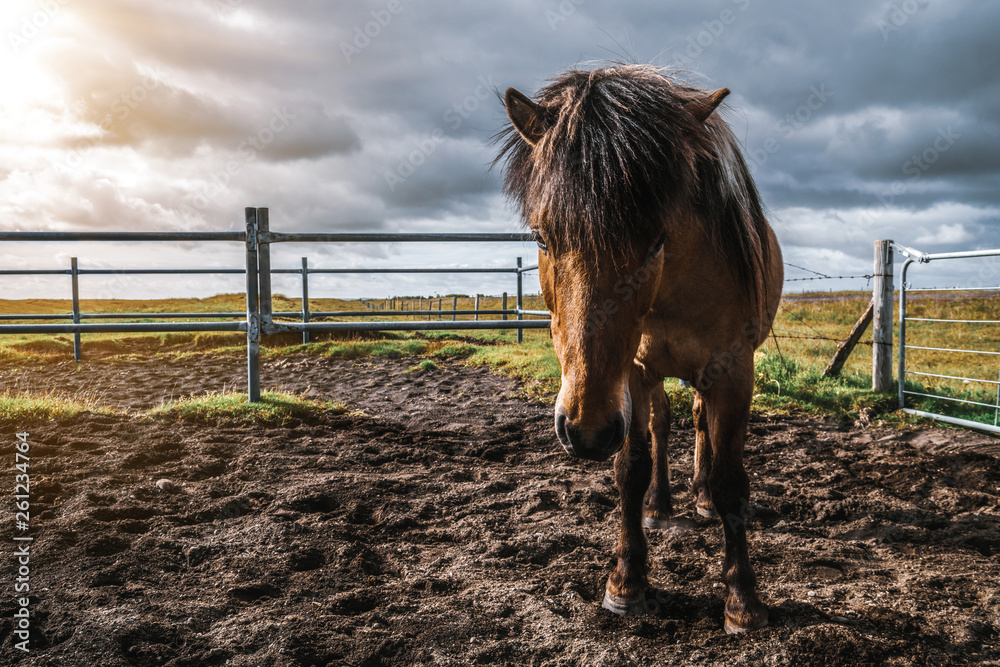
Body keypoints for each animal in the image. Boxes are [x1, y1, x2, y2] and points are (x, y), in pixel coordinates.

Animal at [496, 65, 784, 636]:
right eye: (542, 238)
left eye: (657, 240)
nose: (585, 431)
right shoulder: (629, 371)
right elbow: (631, 467)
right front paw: (627, 582)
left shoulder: (734, 372)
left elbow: (731, 481)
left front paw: (743, 600)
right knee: (662, 423)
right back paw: (660, 505)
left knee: (697, 424)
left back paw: (698, 499)